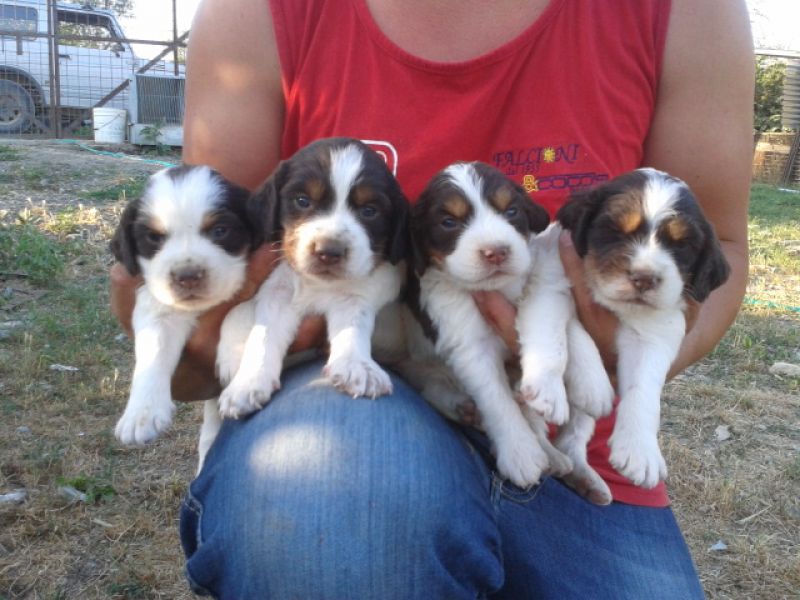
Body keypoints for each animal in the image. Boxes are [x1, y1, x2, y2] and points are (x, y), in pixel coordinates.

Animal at [110, 164, 256, 446]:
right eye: (154, 237)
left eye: (220, 230)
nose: (188, 276)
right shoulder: (158, 309)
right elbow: (152, 352)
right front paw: (141, 413)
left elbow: (240, 308)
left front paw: (235, 356)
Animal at [216, 137, 410, 422]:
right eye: (302, 200)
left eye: (369, 211)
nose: (329, 252)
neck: (318, 285)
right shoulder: (278, 294)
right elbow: (261, 335)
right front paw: (247, 383)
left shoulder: (355, 296)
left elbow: (353, 326)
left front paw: (357, 366)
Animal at [410, 161, 572, 488]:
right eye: (448, 221)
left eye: (511, 211)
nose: (496, 251)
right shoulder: (469, 341)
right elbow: (497, 399)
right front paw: (520, 453)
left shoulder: (540, 291)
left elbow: (548, 334)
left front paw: (548, 390)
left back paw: (554, 456)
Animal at [556, 166, 732, 490]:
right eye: (615, 231)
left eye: (680, 245)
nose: (644, 278)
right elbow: (573, 332)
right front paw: (592, 384)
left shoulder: (654, 335)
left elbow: (643, 389)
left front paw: (640, 452)